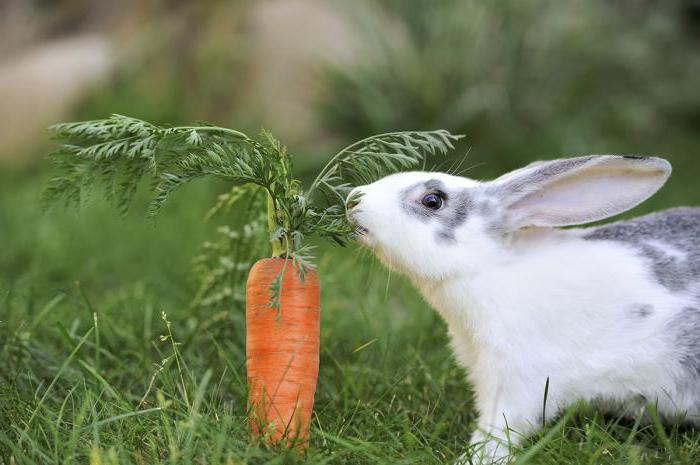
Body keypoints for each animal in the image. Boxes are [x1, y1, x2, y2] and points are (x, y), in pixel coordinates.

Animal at [344, 155, 700, 460]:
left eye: (433, 200)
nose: (353, 200)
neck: (489, 266)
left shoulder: (517, 380)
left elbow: (498, 429)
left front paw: (474, 459)